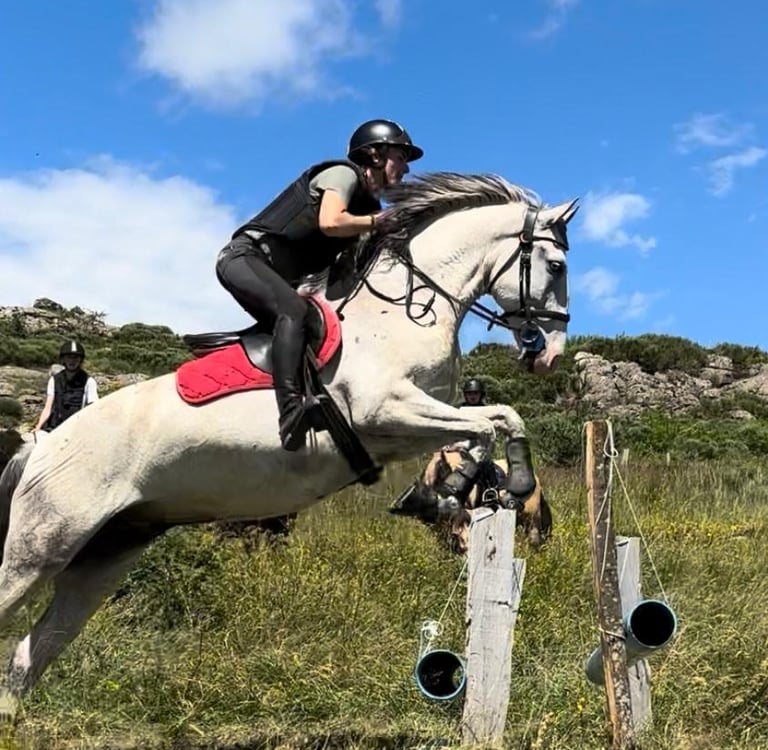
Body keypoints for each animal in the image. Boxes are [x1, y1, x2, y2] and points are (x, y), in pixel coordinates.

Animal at [0, 172, 577, 717]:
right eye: (556, 265)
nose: (549, 353)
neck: (408, 308)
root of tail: (41, 449)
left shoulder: (407, 426)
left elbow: (497, 423)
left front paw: (484, 489)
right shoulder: (387, 410)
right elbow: (487, 426)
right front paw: (456, 494)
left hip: (107, 553)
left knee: (33, 651)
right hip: (45, 542)